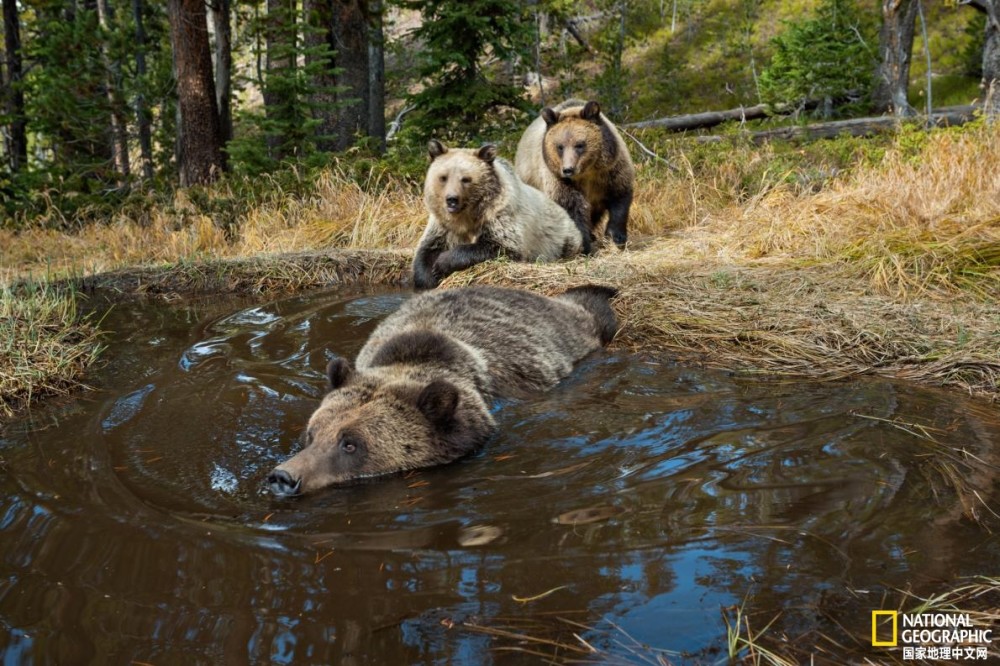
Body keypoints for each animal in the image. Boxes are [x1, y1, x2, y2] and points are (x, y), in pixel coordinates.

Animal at [410, 141, 584, 290]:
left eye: (466, 179)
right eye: (443, 177)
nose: (451, 199)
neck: (466, 217)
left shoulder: (498, 215)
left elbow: (499, 246)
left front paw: (442, 263)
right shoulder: (443, 225)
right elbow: (427, 249)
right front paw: (429, 276)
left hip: (562, 237)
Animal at [516, 97, 632, 253]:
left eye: (580, 144)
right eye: (560, 146)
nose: (568, 169)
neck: (588, 173)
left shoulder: (611, 171)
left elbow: (620, 198)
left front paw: (616, 238)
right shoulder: (559, 180)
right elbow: (571, 207)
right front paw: (584, 245)